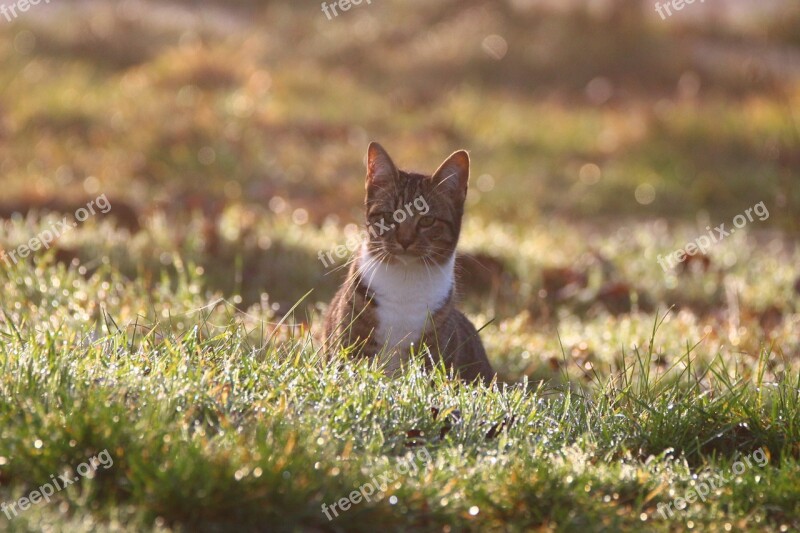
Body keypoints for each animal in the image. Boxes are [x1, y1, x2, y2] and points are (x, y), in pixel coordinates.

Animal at [322, 141, 496, 382]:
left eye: (427, 220)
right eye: (389, 216)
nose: (404, 240)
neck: (404, 282)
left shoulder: (433, 354)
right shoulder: (351, 345)